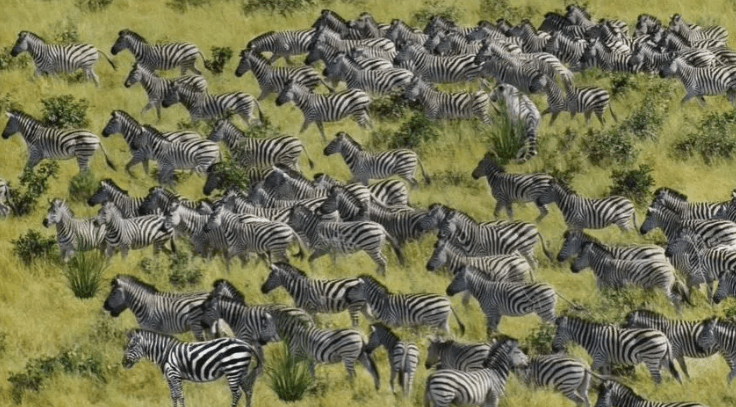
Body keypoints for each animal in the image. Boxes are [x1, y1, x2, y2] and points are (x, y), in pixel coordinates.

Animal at [122, 329, 261, 407]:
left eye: (131, 346)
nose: (123, 363)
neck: (165, 352)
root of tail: (247, 344)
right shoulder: (169, 378)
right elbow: (173, 396)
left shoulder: (174, 375)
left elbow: (180, 395)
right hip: (241, 372)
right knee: (248, 391)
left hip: (233, 370)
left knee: (237, 393)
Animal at [552, 315, 681, 384]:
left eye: (557, 333)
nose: (553, 349)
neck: (592, 338)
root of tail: (663, 336)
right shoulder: (606, 360)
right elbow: (605, 375)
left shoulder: (598, 357)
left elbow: (591, 371)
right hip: (663, 359)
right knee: (675, 374)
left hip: (651, 358)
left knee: (658, 378)